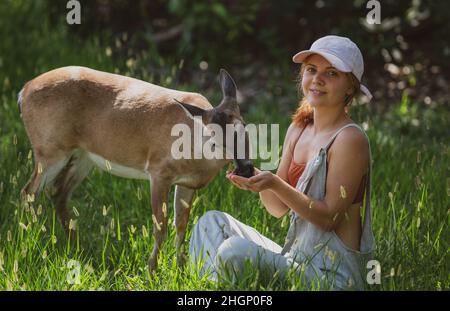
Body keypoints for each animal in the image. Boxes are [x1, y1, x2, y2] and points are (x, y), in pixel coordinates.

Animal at [18, 66, 253, 272]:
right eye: (213, 137)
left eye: (244, 127)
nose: (246, 169)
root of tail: (24, 91)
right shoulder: (159, 172)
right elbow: (160, 228)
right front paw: (152, 271)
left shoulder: (187, 184)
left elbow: (181, 226)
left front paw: (181, 270)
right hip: (50, 149)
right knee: (29, 192)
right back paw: (28, 244)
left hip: (83, 156)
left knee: (57, 192)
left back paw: (77, 248)